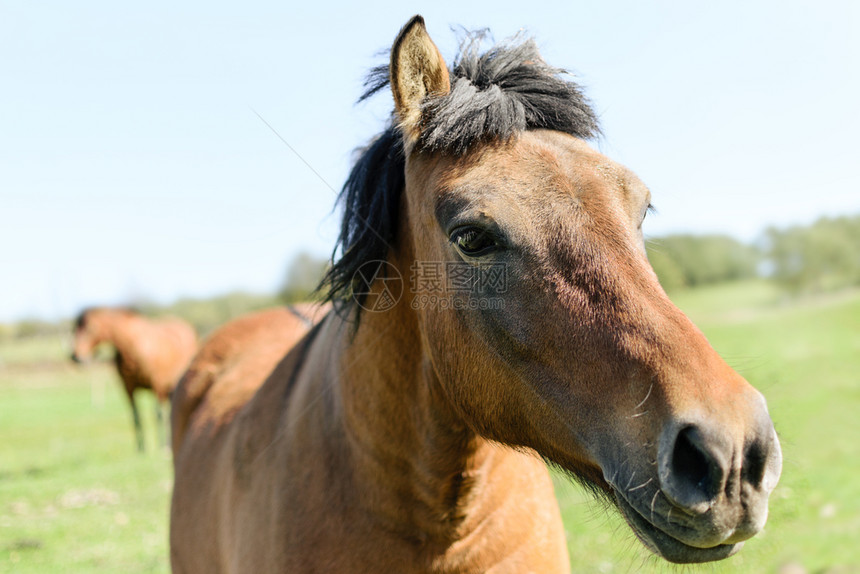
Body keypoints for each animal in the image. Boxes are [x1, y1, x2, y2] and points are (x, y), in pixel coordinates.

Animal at [72, 308, 197, 452]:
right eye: (74, 328)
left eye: (91, 328)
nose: (75, 357)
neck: (133, 347)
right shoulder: (128, 388)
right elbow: (136, 417)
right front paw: (140, 448)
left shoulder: (157, 385)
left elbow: (158, 415)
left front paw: (162, 446)